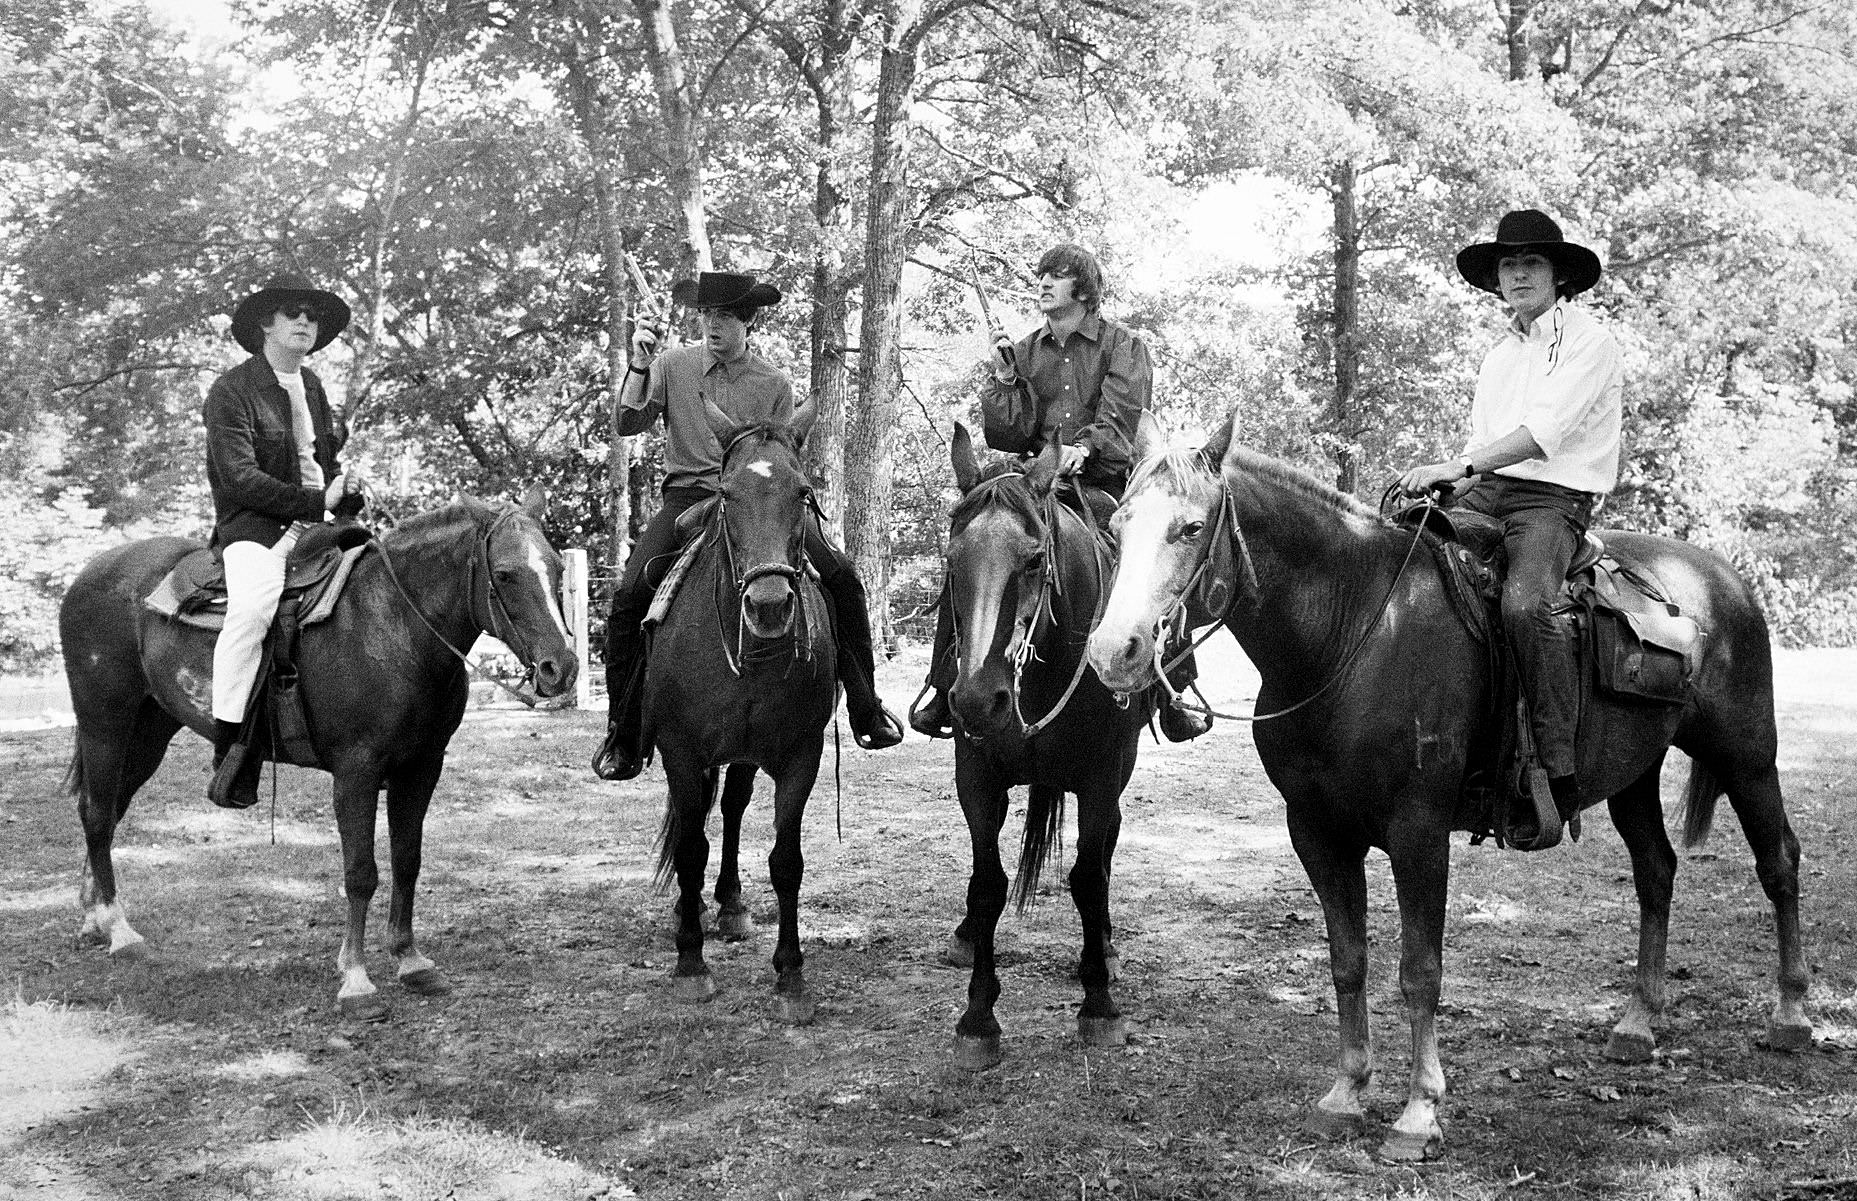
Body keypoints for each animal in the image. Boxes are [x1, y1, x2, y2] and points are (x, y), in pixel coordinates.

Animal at [59, 493, 571, 1017]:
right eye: (505, 574)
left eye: (555, 566)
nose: (562, 667)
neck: (395, 627)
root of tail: (90, 573)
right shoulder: (356, 772)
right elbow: (361, 872)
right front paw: (357, 980)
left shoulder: (422, 767)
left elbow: (407, 860)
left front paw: (410, 960)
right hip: (106, 724)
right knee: (97, 814)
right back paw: (118, 929)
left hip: (148, 732)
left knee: (106, 812)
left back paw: (94, 919)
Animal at [646, 423, 835, 1024]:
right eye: (726, 496)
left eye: (803, 493)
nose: (770, 605)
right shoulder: (681, 752)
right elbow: (688, 850)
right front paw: (690, 963)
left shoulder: (801, 756)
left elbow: (786, 862)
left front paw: (791, 974)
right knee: (699, 824)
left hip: (746, 755)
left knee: (730, 809)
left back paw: (728, 904)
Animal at [935, 426, 1151, 1069]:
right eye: (952, 560)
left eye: (1034, 560)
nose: (977, 700)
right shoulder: (976, 778)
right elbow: (987, 885)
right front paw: (978, 1017)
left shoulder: (1102, 779)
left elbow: (1088, 878)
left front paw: (1099, 1004)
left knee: (1105, 851)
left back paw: (1105, 948)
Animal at [1084, 415, 1805, 1165]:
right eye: (1118, 523)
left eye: (1191, 526)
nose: (1113, 651)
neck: (1350, 632)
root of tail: (1723, 578)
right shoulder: (1315, 832)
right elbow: (1347, 961)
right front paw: (1347, 1092)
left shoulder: (1418, 834)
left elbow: (1419, 969)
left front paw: (1418, 1110)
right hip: (1633, 776)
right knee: (1655, 873)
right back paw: (1638, 1023)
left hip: (1747, 756)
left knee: (1778, 861)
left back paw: (1792, 1014)